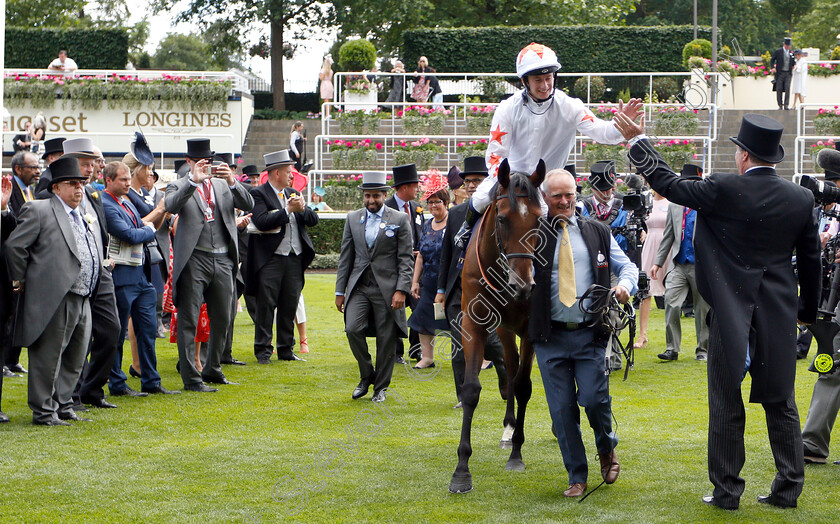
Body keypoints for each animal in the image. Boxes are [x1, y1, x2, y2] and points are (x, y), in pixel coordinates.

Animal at [450, 158, 548, 494]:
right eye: (503, 219)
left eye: (539, 220)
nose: (523, 285)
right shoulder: (473, 322)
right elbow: (471, 389)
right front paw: (461, 471)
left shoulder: (531, 326)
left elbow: (524, 386)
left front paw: (517, 454)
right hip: (504, 328)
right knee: (510, 361)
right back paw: (508, 426)